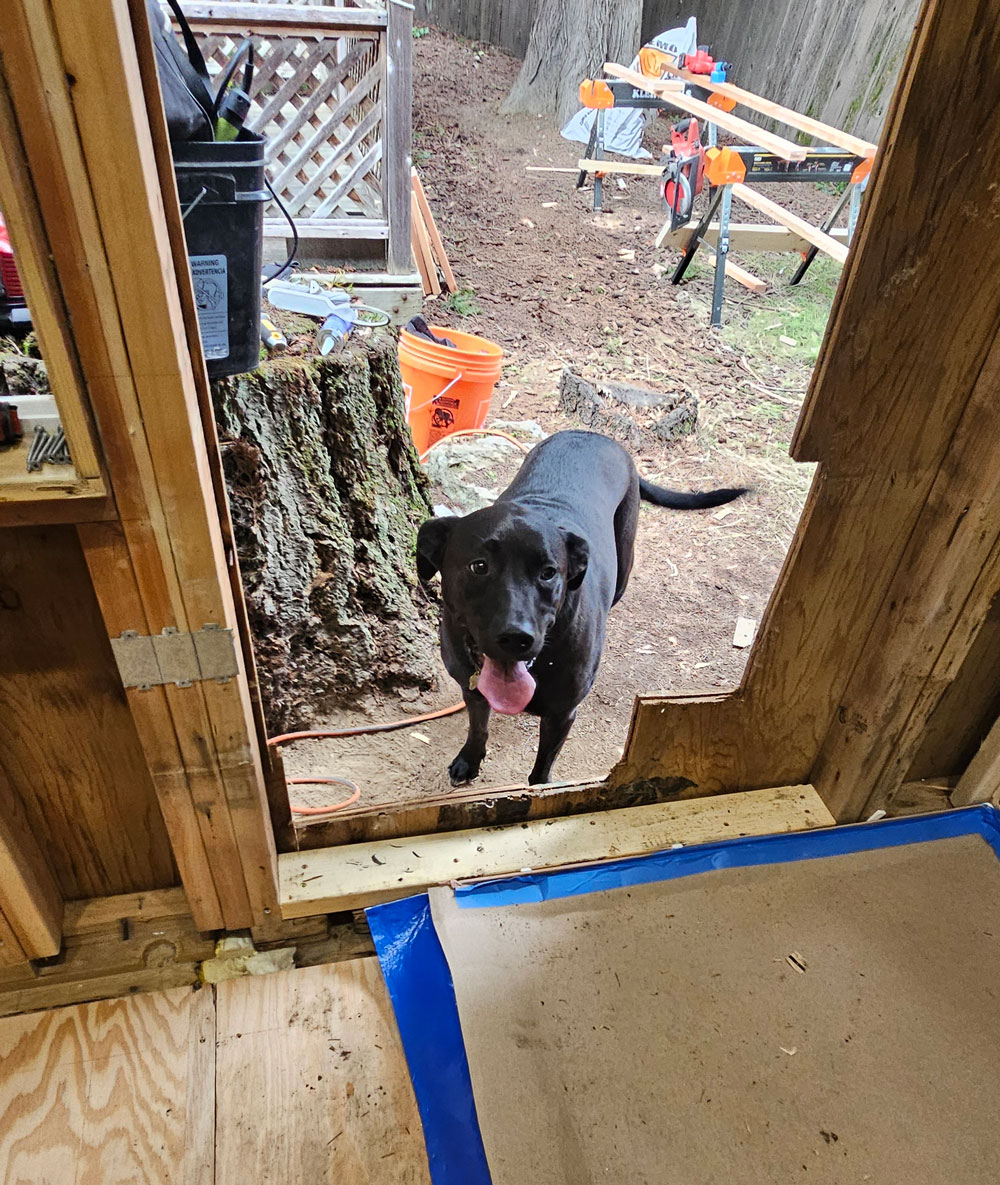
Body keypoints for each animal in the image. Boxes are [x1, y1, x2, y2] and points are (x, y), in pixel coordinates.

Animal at [416, 430, 745, 786]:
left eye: (548, 572)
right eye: (479, 566)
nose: (517, 637)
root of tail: (591, 434)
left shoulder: (561, 714)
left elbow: (541, 769)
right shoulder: (472, 687)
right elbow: (478, 727)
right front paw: (470, 760)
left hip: (624, 562)